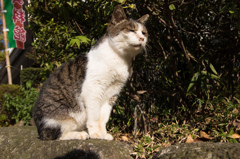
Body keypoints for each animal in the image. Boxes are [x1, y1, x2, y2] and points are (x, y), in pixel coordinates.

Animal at [31, 4, 148, 140]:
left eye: (144, 33)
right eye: (131, 30)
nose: (142, 38)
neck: (119, 59)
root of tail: (38, 129)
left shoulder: (112, 93)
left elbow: (103, 118)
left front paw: (103, 134)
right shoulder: (93, 90)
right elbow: (94, 116)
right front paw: (95, 134)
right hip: (63, 117)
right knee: (54, 135)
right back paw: (80, 134)